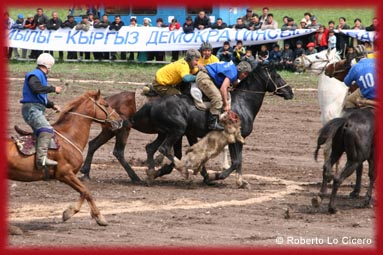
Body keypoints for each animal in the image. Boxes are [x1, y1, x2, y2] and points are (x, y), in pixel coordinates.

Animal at [7, 90, 122, 226]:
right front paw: (98, 217)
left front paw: (70, 212)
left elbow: (83, 192)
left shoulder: (69, 175)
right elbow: (86, 191)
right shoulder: (65, 173)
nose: (120, 120)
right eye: (106, 105)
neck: (69, 136)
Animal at [129, 62, 294, 188]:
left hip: (166, 132)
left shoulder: (238, 140)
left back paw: (151, 173)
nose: (290, 92)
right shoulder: (234, 139)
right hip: (177, 130)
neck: (242, 103)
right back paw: (181, 169)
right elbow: (236, 162)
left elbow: (239, 162)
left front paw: (241, 182)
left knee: (150, 148)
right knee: (164, 149)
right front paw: (217, 176)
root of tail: (153, 104)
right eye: (277, 76)